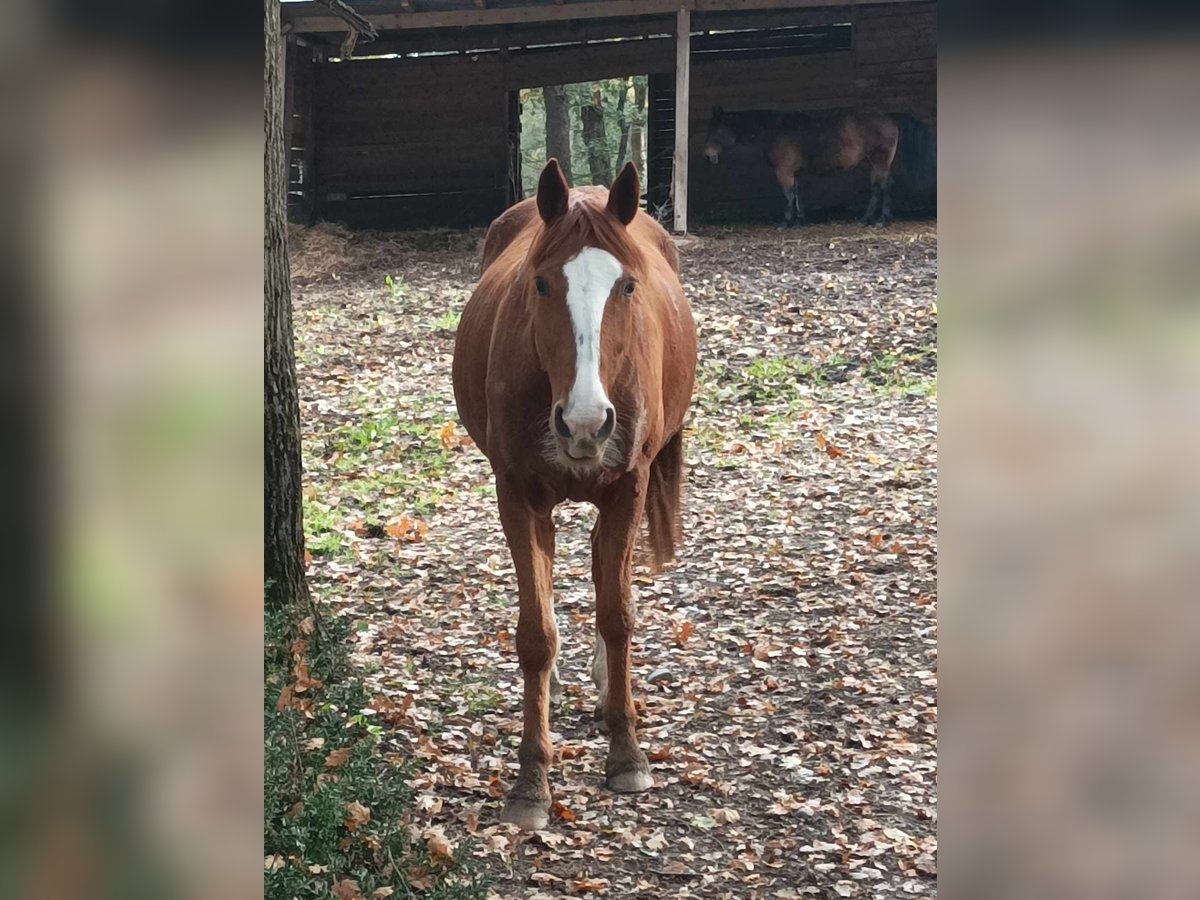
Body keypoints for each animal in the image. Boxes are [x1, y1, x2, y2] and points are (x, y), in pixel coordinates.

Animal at [451, 158, 700, 830]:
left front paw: (626, 752)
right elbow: (534, 635)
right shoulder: (518, 497)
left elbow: (617, 615)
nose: (586, 423)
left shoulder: (627, 490)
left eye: (628, 287)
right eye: (540, 285)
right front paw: (532, 781)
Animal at [700, 106, 936, 226]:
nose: (708, 156)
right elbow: (796, 194)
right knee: (880, 187)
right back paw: (871, 218)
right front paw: (799, 220)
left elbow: (788, 195)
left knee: (883, 187)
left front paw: (786, 221)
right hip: (875, 163)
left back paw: (879, 219)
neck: (775, 130)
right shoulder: (794, 173)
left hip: (879, 161)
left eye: (716, 130)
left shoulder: (783, 171)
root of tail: (888, 117)